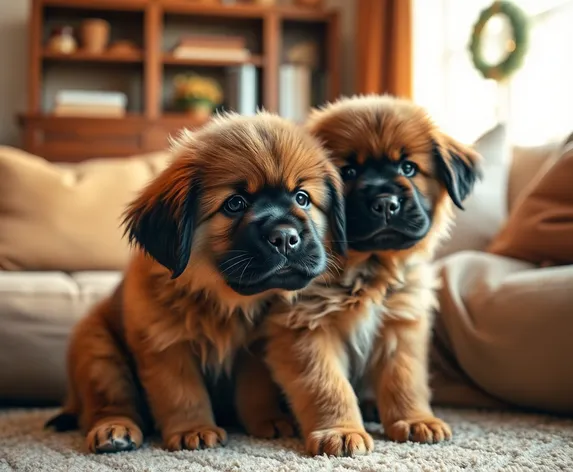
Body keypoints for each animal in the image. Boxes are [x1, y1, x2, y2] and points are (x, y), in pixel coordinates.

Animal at [47, 111, 344, 454]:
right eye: (235, 203)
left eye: (302, 198)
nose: (285, 237)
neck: (222, 300)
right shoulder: (165, 345)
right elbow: (182, 393)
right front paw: (195, 430)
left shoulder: (254, 349)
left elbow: (255, 390)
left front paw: (267, 421)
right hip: (98, 351)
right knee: (108, 402)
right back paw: (114, 429)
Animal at [264, 94, 482, 456]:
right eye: (348, 171)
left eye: (408, 168)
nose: (385, 203)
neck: (367, 272)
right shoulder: (305, 328)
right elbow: (326, 385)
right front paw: (340, 431)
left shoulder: (400, 323)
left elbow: (404, 378)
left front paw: (415, 420)